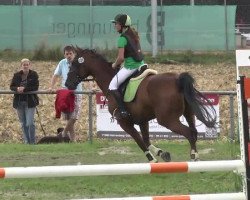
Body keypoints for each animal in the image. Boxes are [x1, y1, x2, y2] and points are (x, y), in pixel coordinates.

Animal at [65, 48, 216, 162]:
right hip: (189, 113)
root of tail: (177, 80)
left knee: (189, 133)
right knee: (194, 132)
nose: (68, 84)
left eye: (74, 64)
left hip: (167, 120)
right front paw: (162, 153)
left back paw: (194, 157)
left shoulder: (124, 122)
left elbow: (139, 140)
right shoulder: (143, 120)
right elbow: (146, 140)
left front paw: (152, 159)